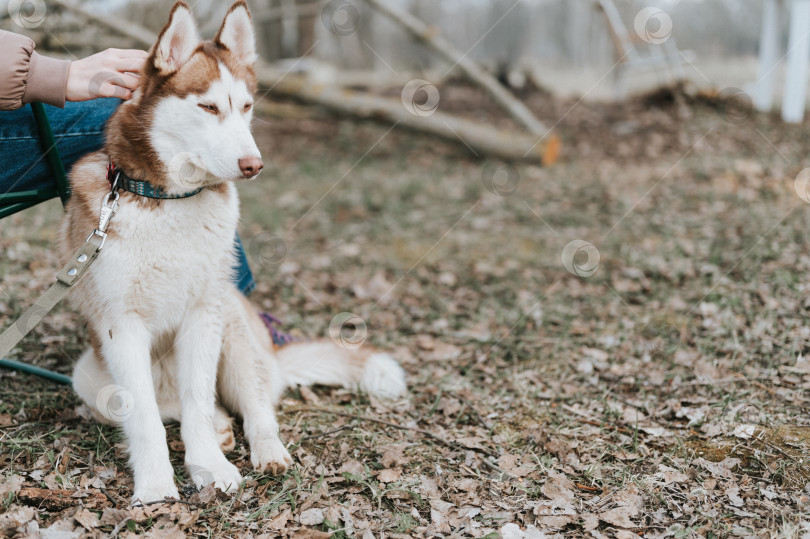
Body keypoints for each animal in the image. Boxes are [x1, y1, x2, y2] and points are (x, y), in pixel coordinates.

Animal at [58, 1, 404, 506]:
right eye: (207, 107)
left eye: (246, 107)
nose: (253, 165)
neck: (171, 201)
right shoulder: (120, 325)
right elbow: (146, 418)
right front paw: (156, 486)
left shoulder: (205, 313)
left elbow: (200, 402)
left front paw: (209, 468)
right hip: (88, 375)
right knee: (166, 405)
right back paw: (220, 426)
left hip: (236, 331)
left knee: (255, 409)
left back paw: (266, 450)